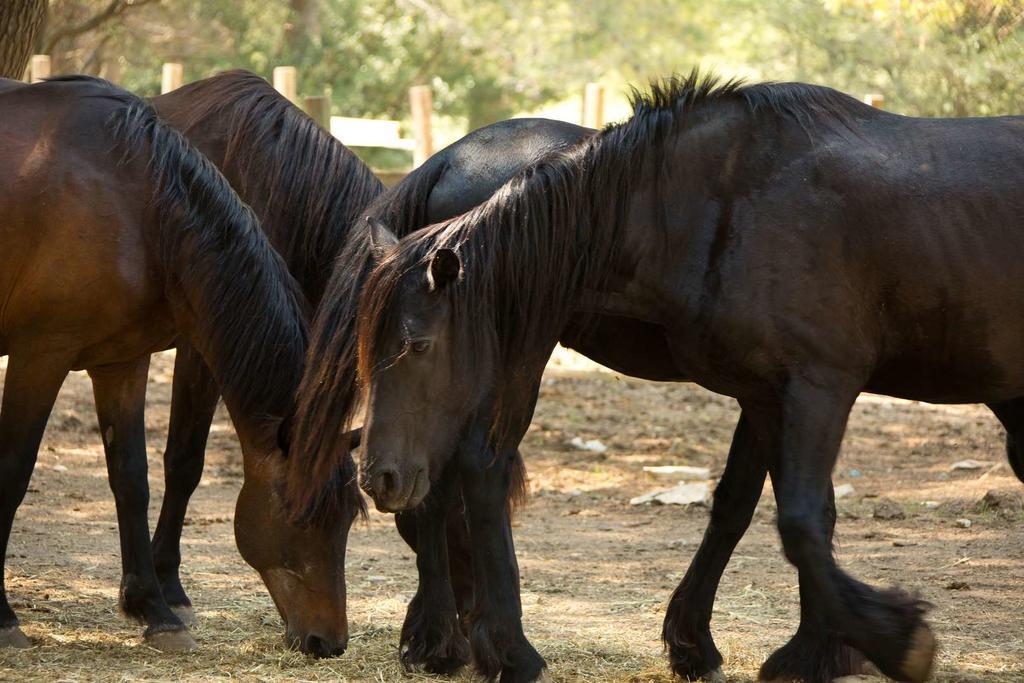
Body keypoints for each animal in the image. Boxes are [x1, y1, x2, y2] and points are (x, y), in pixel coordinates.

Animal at [0, 76, 364, 655]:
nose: (327, 642)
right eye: (300, 516)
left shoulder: (122, 359)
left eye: (351, 515)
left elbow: (132, 477)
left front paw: (152, 606)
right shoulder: (45, 353)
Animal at [337, 72, 1024, 679]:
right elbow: (801, 518)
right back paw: (484, 647)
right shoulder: (810, 389)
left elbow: (760, 508)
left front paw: (746, 647)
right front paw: (881, 640)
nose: (377, 476)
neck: (727, 200)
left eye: (417, 345)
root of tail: (451, 157)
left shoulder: (778, 390)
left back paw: (452, 640)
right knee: (476, 473)